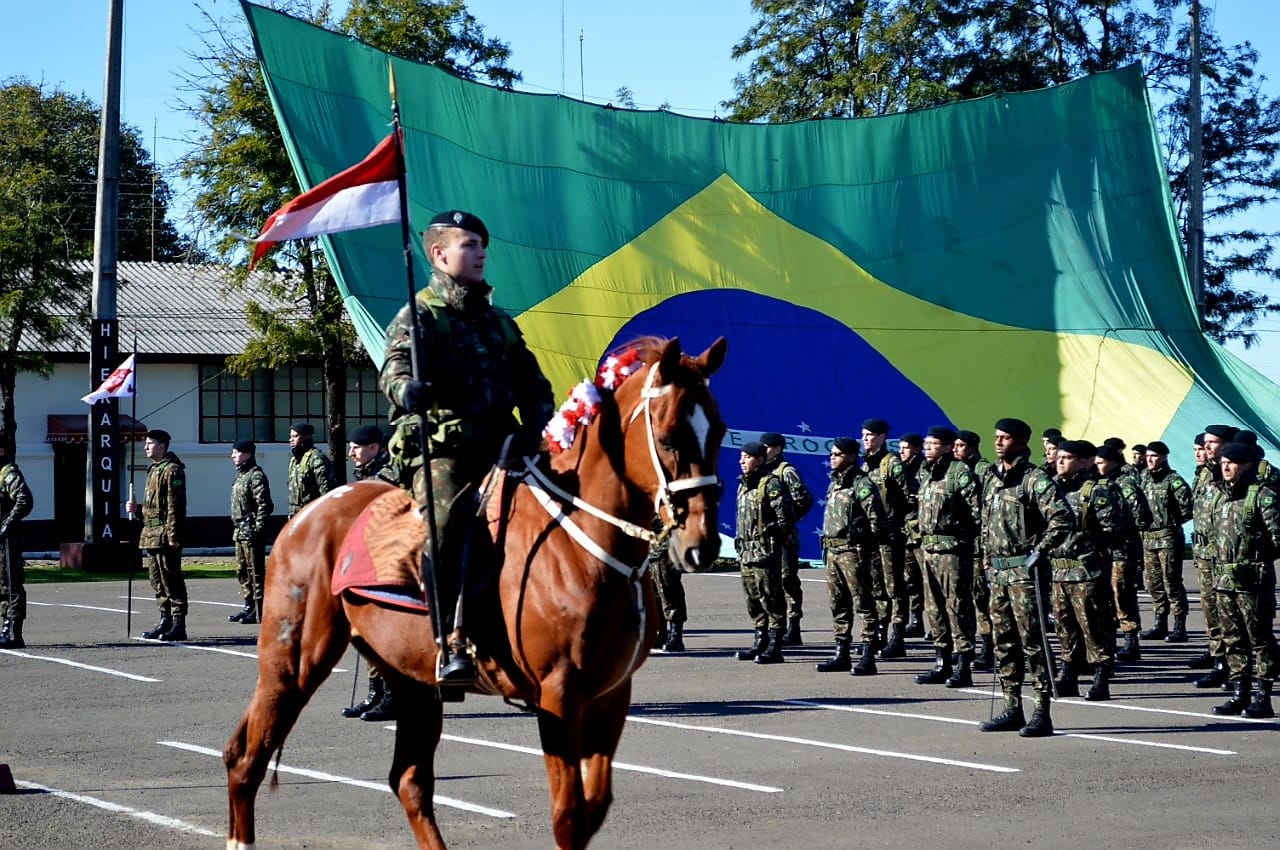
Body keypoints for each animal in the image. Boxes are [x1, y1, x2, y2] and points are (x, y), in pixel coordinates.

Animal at [218, 335, 721, 844]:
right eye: (669, 436)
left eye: (718, 431)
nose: (701, 544)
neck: (582, 542)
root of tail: (305, 516)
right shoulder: (559, 696)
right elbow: (568, 816)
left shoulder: (609, 696)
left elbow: (592, 810)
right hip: (292, 663)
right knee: (245, 757)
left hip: (413, 680)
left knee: (409, 781)